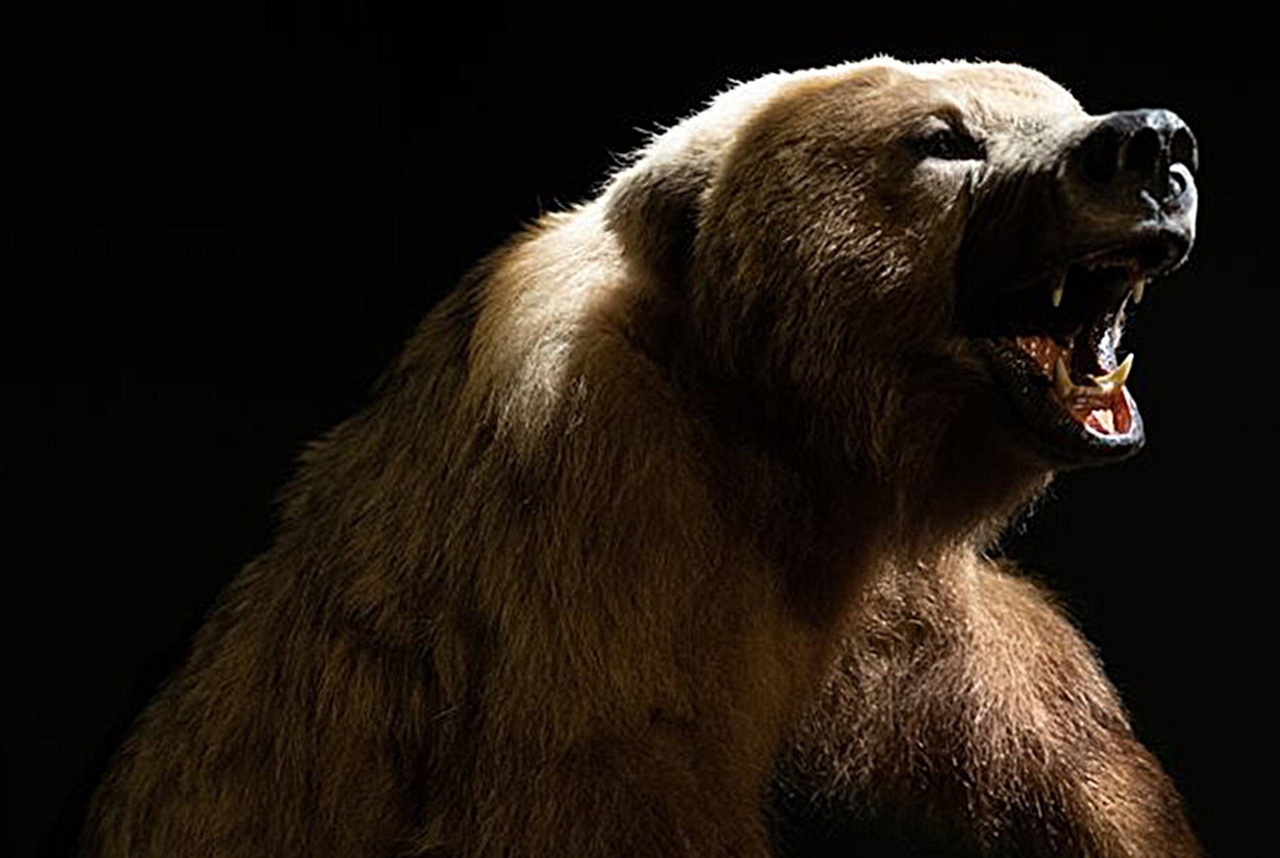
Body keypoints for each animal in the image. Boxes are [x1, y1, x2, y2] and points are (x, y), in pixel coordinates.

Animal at [81, 57, 1200, 857]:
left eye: (1056, 99)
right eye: (944, 137)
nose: (1148, 143)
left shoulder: (890, 583)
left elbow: (1033, 740)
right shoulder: (595, 512)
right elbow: (601, 782)